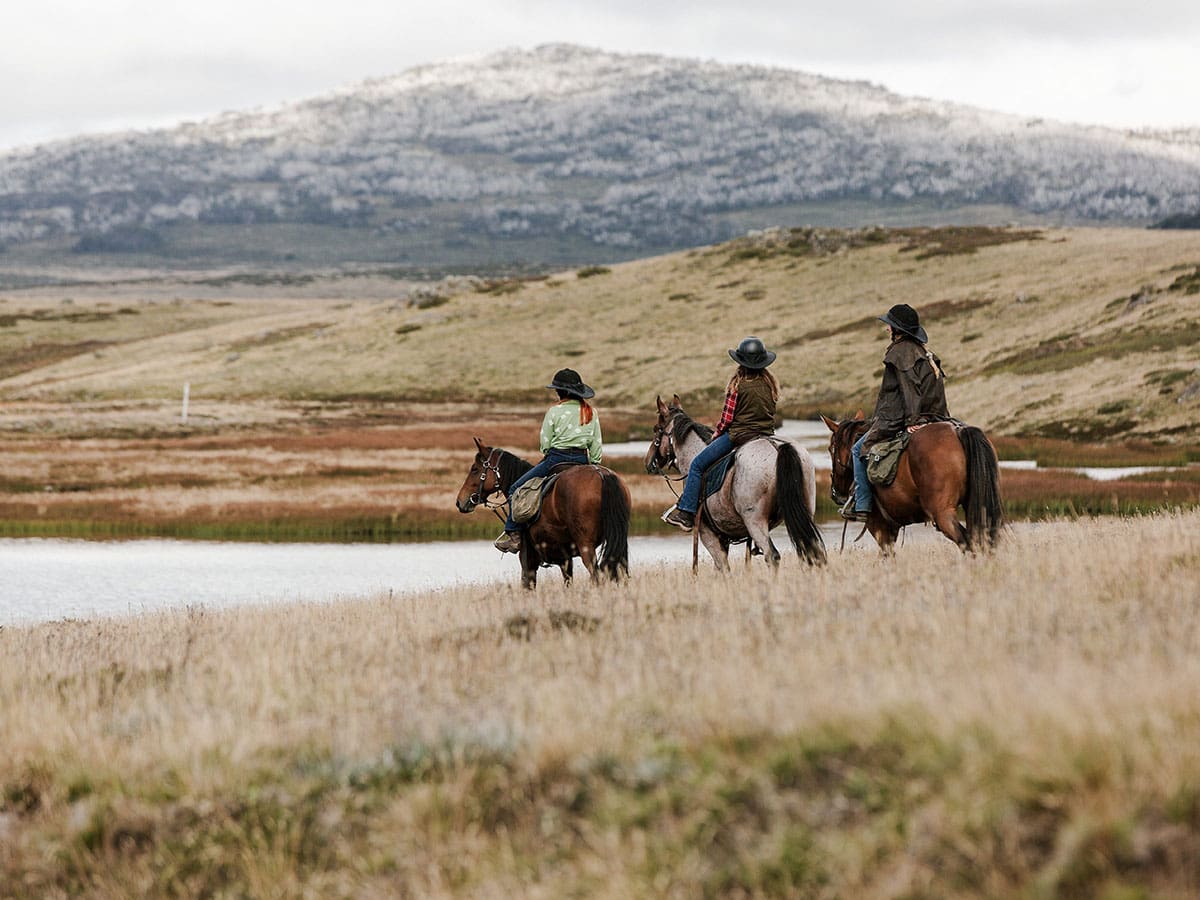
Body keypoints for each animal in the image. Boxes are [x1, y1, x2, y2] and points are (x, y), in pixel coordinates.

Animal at [453, 439, 633, 592]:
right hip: (618, 542)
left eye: (474, 469)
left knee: (596, 577)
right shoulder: (565, 559)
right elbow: (568, 583)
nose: (460, 501)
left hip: (586, 546)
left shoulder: (528, 558)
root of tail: (603, 475)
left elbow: (528, 585)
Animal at [648, 400, 825, 573]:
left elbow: (723, 568)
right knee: (813, 551)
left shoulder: (707, 534)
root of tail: (777, 447)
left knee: (772, 556)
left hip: (755, 520)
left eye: (657, 429)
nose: (649, 462)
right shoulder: (723, 538)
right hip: (805, 511)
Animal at [825, 412, 1003, 554]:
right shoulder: (892, 527)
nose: (835, 493)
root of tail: (958, 430)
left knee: (968, 543)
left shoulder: (879, 526)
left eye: (831, 449)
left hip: (943, 514)